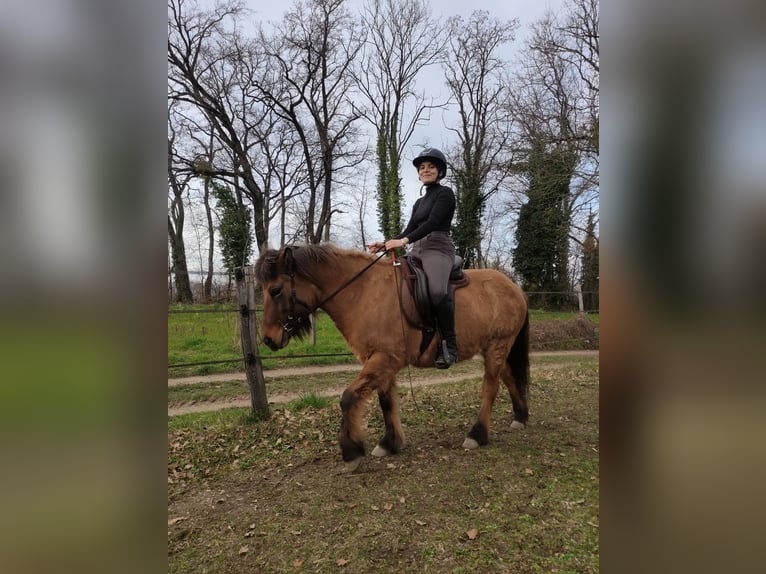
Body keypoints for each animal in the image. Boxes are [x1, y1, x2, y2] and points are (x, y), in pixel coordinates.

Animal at [254, 243, 530, 472]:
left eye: (275, 290)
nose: (267, 339)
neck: (363, 293)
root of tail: (513, 287)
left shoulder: (384, 359)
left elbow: (348, 398)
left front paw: (351, 452)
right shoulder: (380, 362)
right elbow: (386, 402)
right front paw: (389, 443)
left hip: (497, 346)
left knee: (490, 387)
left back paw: (477, 434)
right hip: (492, 349)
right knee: (507, 377)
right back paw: (520, 416)